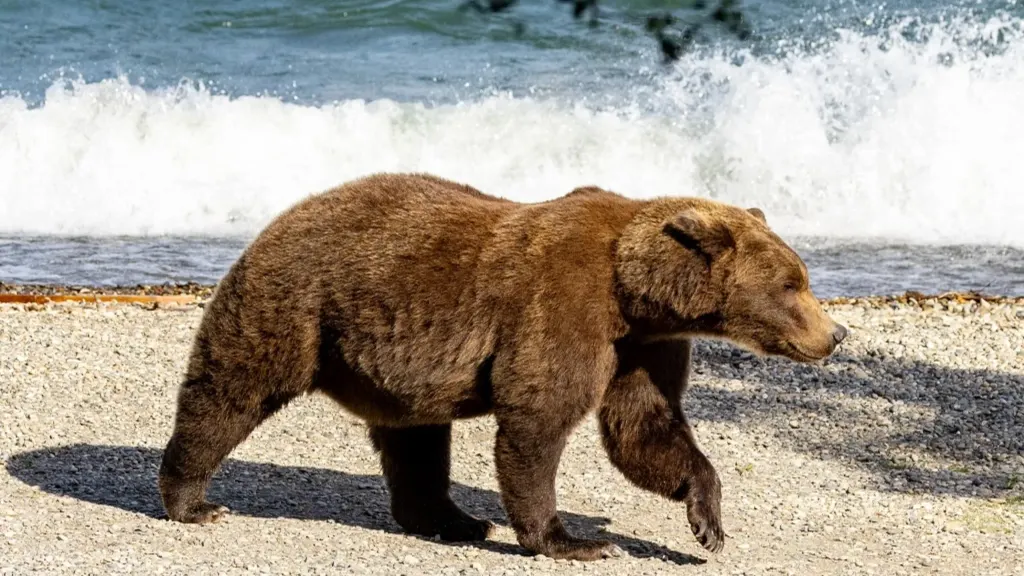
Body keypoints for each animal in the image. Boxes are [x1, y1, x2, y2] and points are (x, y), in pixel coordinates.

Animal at [158, 172, 847, 561]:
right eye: (794, 284)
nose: (835, 333)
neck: (636, 293)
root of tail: (281, 215)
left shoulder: (643, 347)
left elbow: (644, 428)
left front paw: (707, 523)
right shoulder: (566, 305)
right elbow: (538, 419)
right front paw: (576, 541)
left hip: (393, 365)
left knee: (416, 441)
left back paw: (456, 520)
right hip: (298, 303)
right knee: (230, 389)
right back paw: (193, 500)